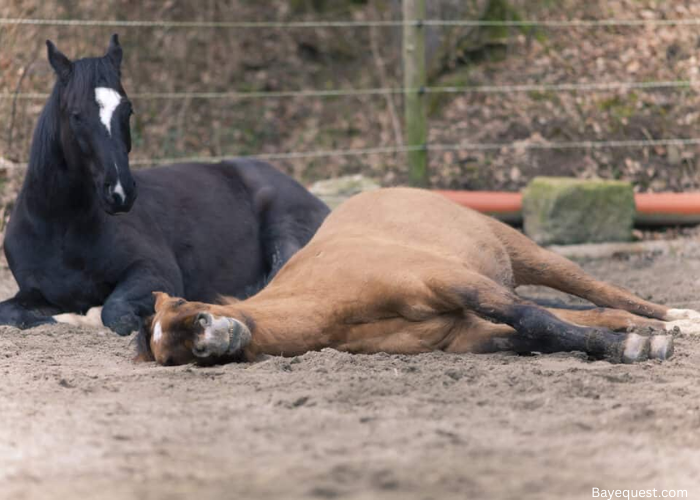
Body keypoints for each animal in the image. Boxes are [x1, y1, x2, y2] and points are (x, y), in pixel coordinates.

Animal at [0, 35, 329, 335]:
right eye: (76, 115)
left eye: (128, 110)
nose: (120, 192)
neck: (60, 228)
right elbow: (13, 314)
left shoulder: (155, 272)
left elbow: (114, 313)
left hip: (285, 229)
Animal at [135, 188, 700, 366]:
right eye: (172, 355)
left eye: (188, 311)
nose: (211, 339)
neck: (331, 303)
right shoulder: (467, 334)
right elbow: (540, 332)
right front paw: (633, 342)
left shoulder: (451, 282)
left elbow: (536, 320)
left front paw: (634, 348)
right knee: (596, 308)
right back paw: (649, 327)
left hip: (527, 255)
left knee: (600, 290)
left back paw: (676, 317)